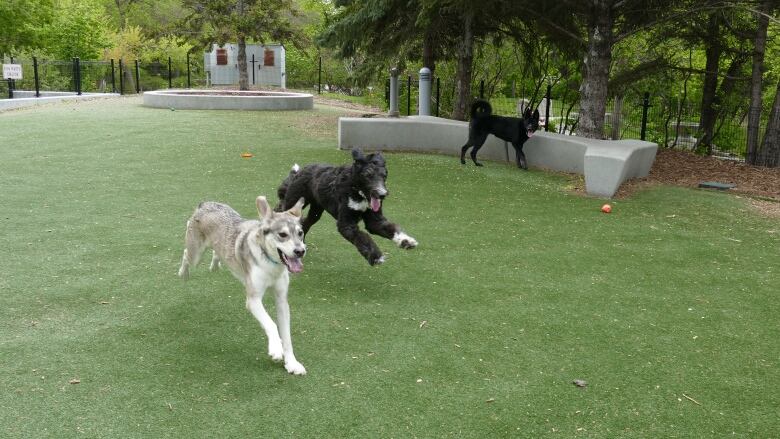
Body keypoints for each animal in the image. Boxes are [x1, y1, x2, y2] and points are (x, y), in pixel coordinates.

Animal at [178, 196, 310, 374]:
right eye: (282, 234)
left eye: (300, 233)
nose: (300, 251)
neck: (271, 263)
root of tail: (205, 203)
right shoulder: (253, 300)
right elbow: (271, 324)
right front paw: (276, 349)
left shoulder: (282, 300)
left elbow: (287, 336)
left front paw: (292, 363)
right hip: (195, 255)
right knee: (186, 255)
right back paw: (183, 273)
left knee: (216, 251)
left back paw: (215, 265)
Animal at [278, 149, 418, 264]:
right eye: (368, 175)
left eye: (384, 175)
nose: (382, 194)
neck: (357, 191)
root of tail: (301, 170)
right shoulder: (346, 224)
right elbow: (362, 237)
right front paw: (375, 256)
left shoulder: (374, 221)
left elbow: (391, 228)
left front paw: (405, 241)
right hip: (293, 201)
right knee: (281, 211)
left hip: (316, 210)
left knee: (305, 223)